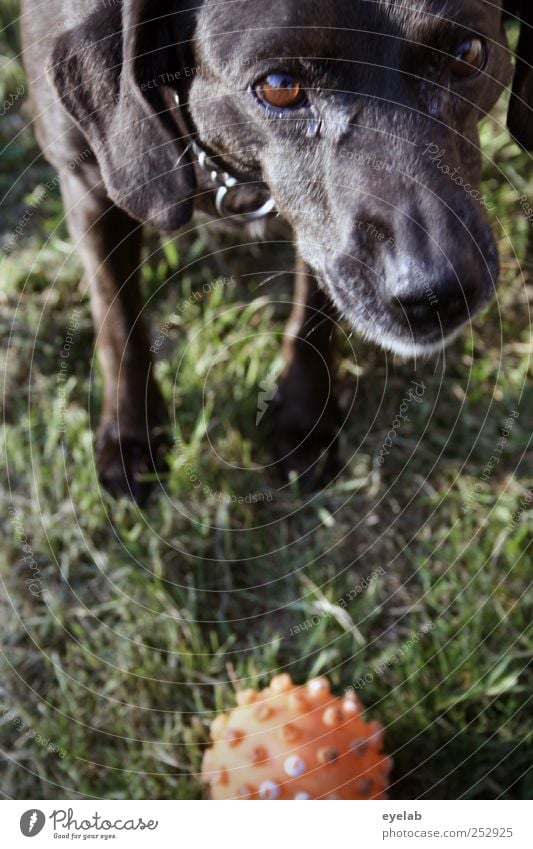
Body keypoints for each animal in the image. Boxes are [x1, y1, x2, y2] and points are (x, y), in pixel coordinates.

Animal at [18, 0, 528, 500]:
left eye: (467, 54)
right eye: (280, 88)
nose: (437, 293)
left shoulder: (318, 234)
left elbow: (314, 311)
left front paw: (305, 420)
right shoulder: (89, 183)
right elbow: (118, 323)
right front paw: (131, 437)